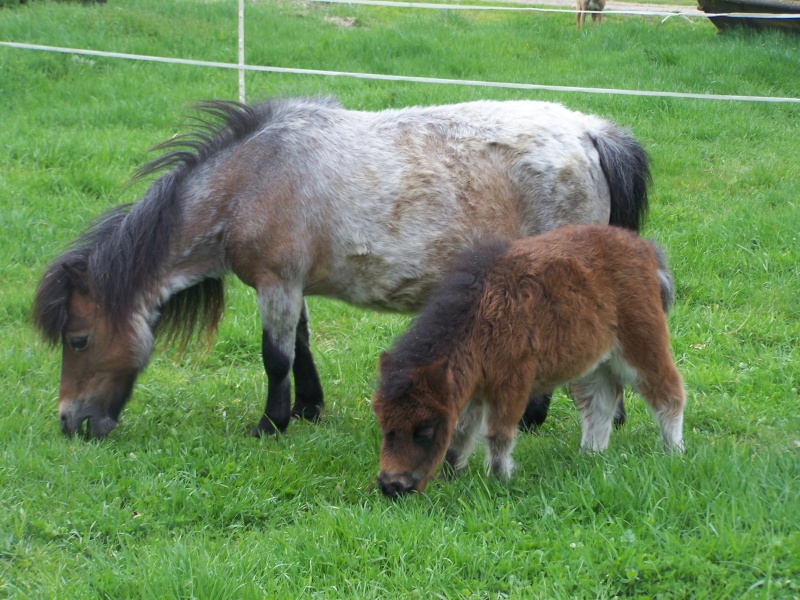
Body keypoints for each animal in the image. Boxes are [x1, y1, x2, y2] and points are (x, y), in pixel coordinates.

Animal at [31, 96, 648, 438]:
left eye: (79, 339)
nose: (69, 423)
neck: (248, 180)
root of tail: (590, 132)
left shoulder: (276, 285)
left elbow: (275, 357)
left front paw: (271, 423)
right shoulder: (291, 287)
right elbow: (300, 346)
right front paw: (307, 410)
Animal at [374, 225, 680, 496]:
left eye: (425, 428)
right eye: (384, 424)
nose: (391, 486)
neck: (482, 311)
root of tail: (645, 249)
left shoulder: (511, 385)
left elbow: (498, 434)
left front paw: (498, 480)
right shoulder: (474, 389)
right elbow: (462, 431)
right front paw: (450, 476)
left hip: (642, 346)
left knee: (668, 392)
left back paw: (674, 453)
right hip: (595, 365)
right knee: (600, 404)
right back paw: (590, 456)